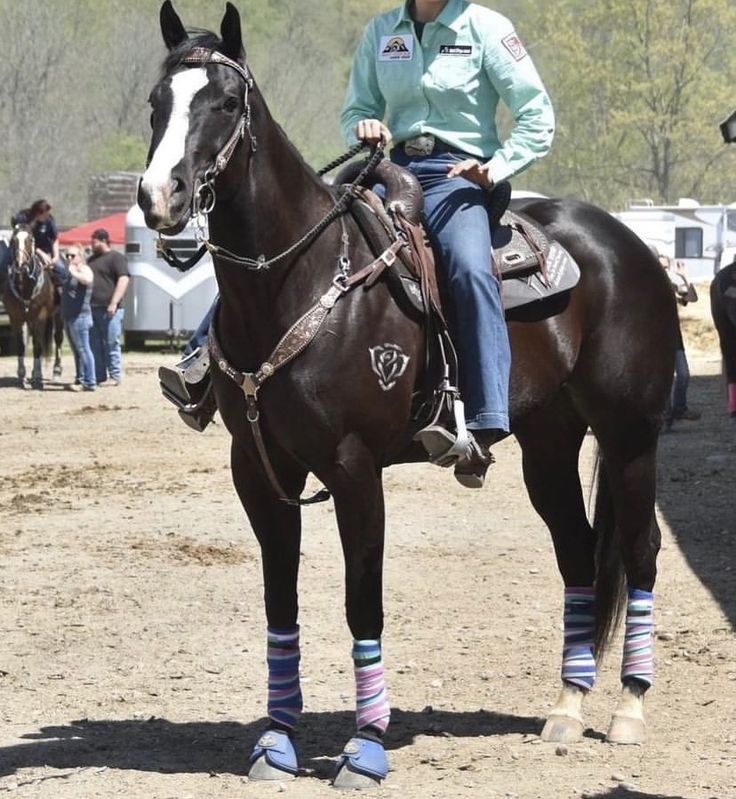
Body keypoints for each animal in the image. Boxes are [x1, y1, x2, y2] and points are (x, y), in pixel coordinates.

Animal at [3, 223, 62, 390]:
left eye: (30, 240)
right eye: (14, 240)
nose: (20, 264)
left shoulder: (40, 317)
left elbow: (37, 346)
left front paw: (37, 377)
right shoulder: (16, 318)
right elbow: (20, 346)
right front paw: (22, 376)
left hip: (58, 315)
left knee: (57, 339)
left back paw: (56, 370)